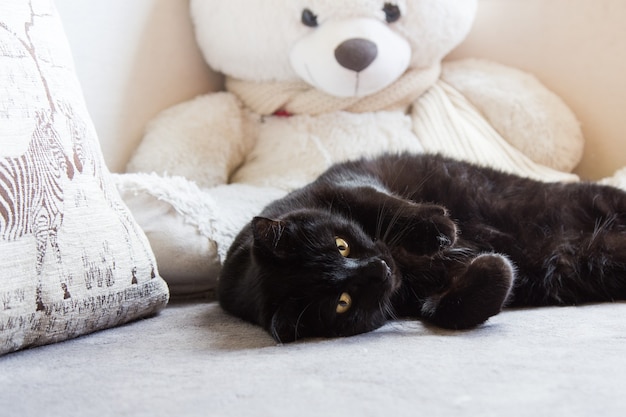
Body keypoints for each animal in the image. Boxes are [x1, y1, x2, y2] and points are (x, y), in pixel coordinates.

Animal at [216, 153, 624, 342]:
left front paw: (441, 230)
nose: (379, 269)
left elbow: (382, 203)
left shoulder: (341, 184)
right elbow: (448, 311)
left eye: (341, 245)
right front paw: (495, 266)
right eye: (341, 302)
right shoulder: (417, 295)